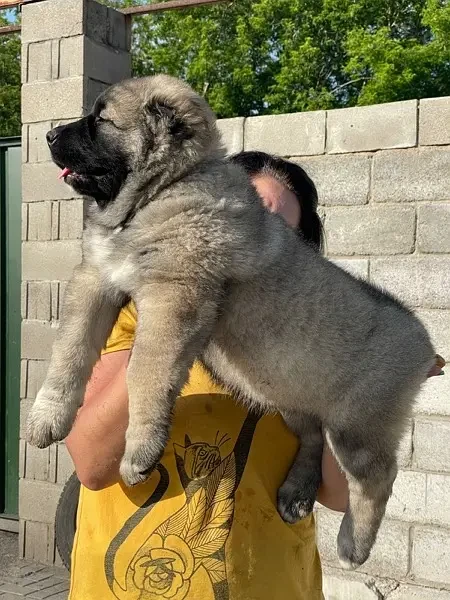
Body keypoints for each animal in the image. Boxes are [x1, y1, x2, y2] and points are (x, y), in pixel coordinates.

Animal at [27, 74, 436, 568]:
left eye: (101, 120)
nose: (49, 135)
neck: (164, 189)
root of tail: (423, 343)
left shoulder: (172, 295)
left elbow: (144, 370)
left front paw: (139, 451)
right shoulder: (96, 280)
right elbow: (69, 351)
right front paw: (46, 418)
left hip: (359, 426)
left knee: (377, 478)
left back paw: (353, 545)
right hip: (286, 390)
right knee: (313, 437)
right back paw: (297, 493)